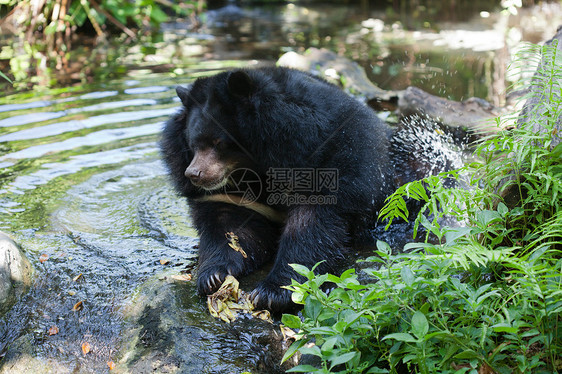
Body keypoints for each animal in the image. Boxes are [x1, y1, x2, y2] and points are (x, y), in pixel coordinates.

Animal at [160, 67, 392, 312]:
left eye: (219, 142)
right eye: (193, 143)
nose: (193, 174)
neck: (253, 168)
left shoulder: (332, 162)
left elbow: (311, 228)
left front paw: (270, 293)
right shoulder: (232, 196)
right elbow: (232, 230)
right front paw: (212, 277)